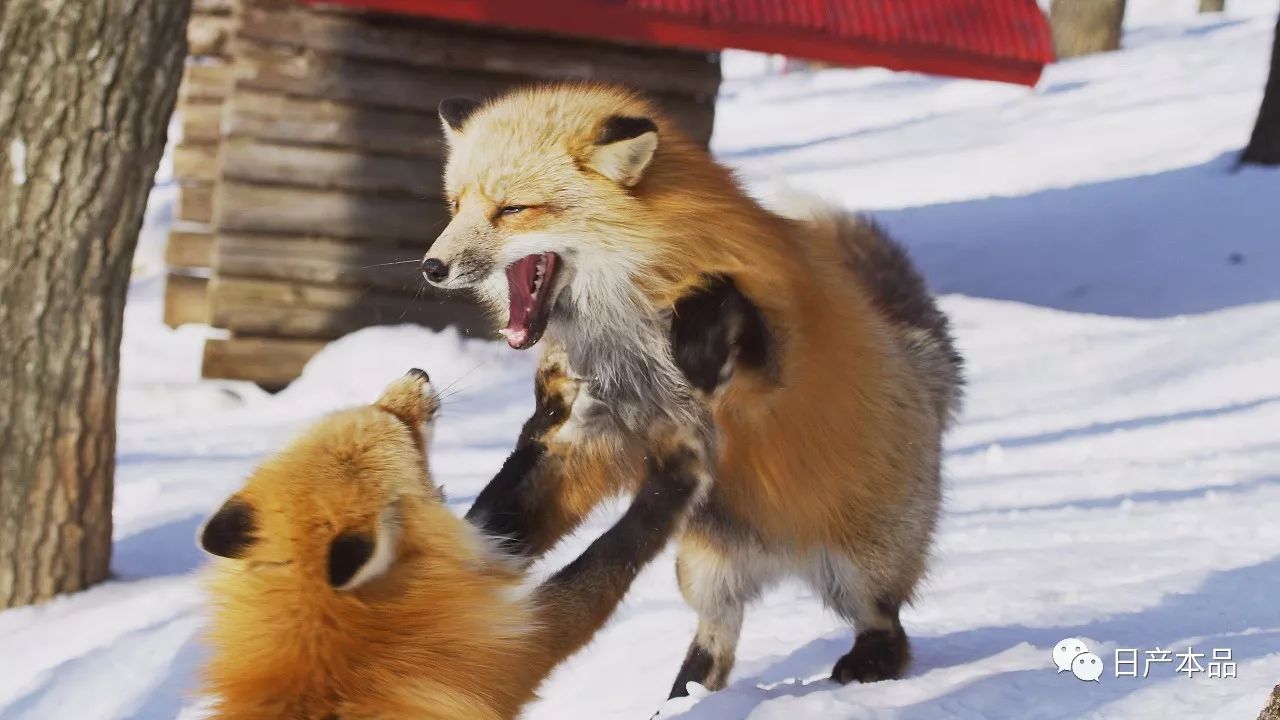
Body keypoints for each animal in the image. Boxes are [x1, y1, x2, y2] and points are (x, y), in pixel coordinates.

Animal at [197, 366, 711, 712]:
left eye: (375, 406)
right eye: (397, 424)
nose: (418, 372)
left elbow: (504, 515)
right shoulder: (518, 648)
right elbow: (609, 560)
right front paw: (673, 476)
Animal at [419, 83, 962, 696]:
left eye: (512, 209)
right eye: (456, 205)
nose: (431, 267)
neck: (625, 327)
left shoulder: (773, 362)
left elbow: (724, 299)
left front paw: (698, 331)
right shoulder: (595, 426)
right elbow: (514, 513)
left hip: (859, 570)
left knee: (889, 626)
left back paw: (868, 664)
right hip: (702, 569)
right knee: (715, 639)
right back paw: (683, 696)